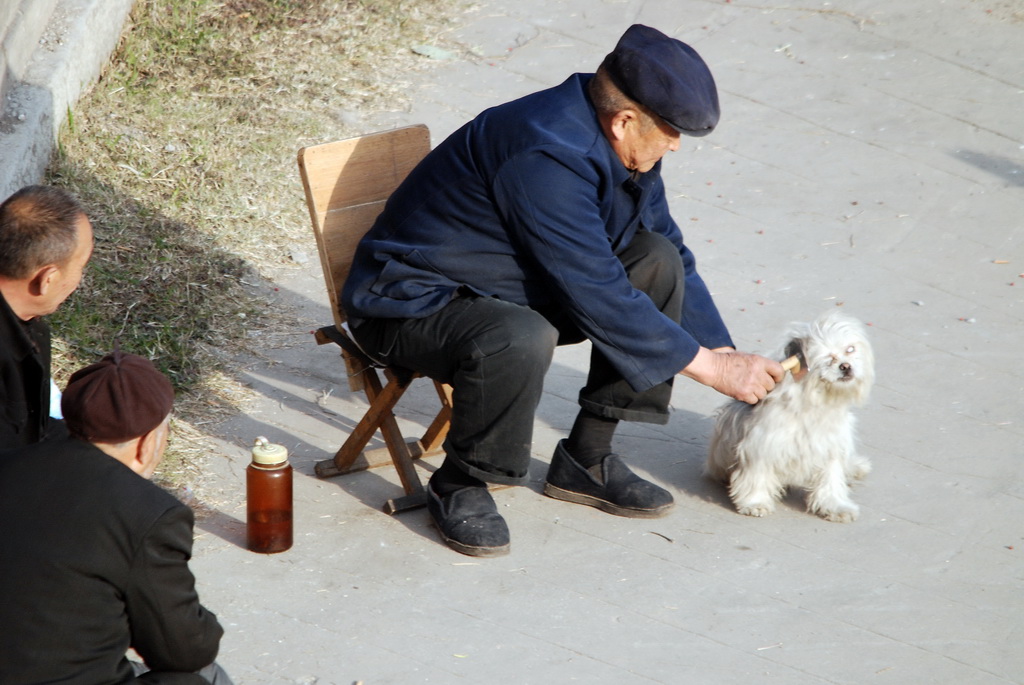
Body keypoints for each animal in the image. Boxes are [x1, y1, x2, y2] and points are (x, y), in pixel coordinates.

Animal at [708, 311, 876, 524]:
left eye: (850, 349)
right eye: (826, 356)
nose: (845, 366)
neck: (816, 401)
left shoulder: (831, 448)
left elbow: (831, 479)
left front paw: (836, 506)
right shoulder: (762, 444)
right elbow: (757, 474)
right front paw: (756, 502)